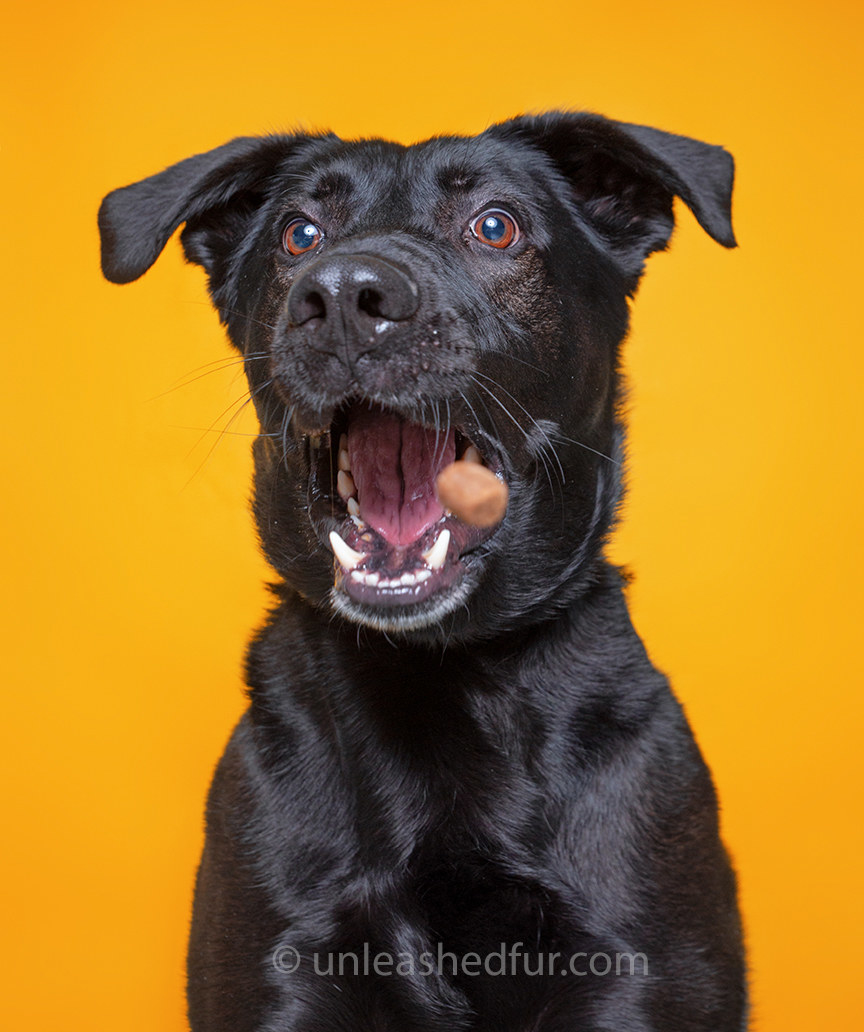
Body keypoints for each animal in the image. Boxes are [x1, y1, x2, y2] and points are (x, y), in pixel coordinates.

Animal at [99, 113, 747, 1032]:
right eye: (300, 234)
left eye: (495, 225)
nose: (343, 295)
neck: (438, 678)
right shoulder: (281, 971)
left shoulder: (631, 971)